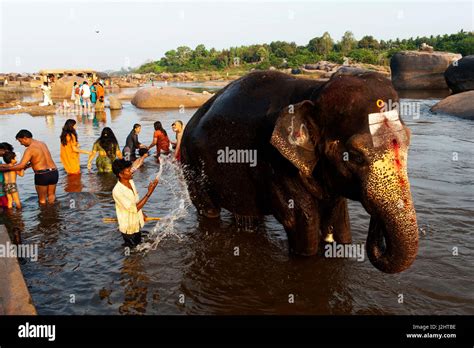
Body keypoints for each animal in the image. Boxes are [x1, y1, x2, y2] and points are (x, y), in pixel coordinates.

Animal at [181, 69, 418, 274]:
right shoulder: (275, 164)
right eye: (356, 156)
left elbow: (341, 226)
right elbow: (304, 227)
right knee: (208, 210)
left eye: (408, 143)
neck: (314, 91)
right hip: (189, 163)